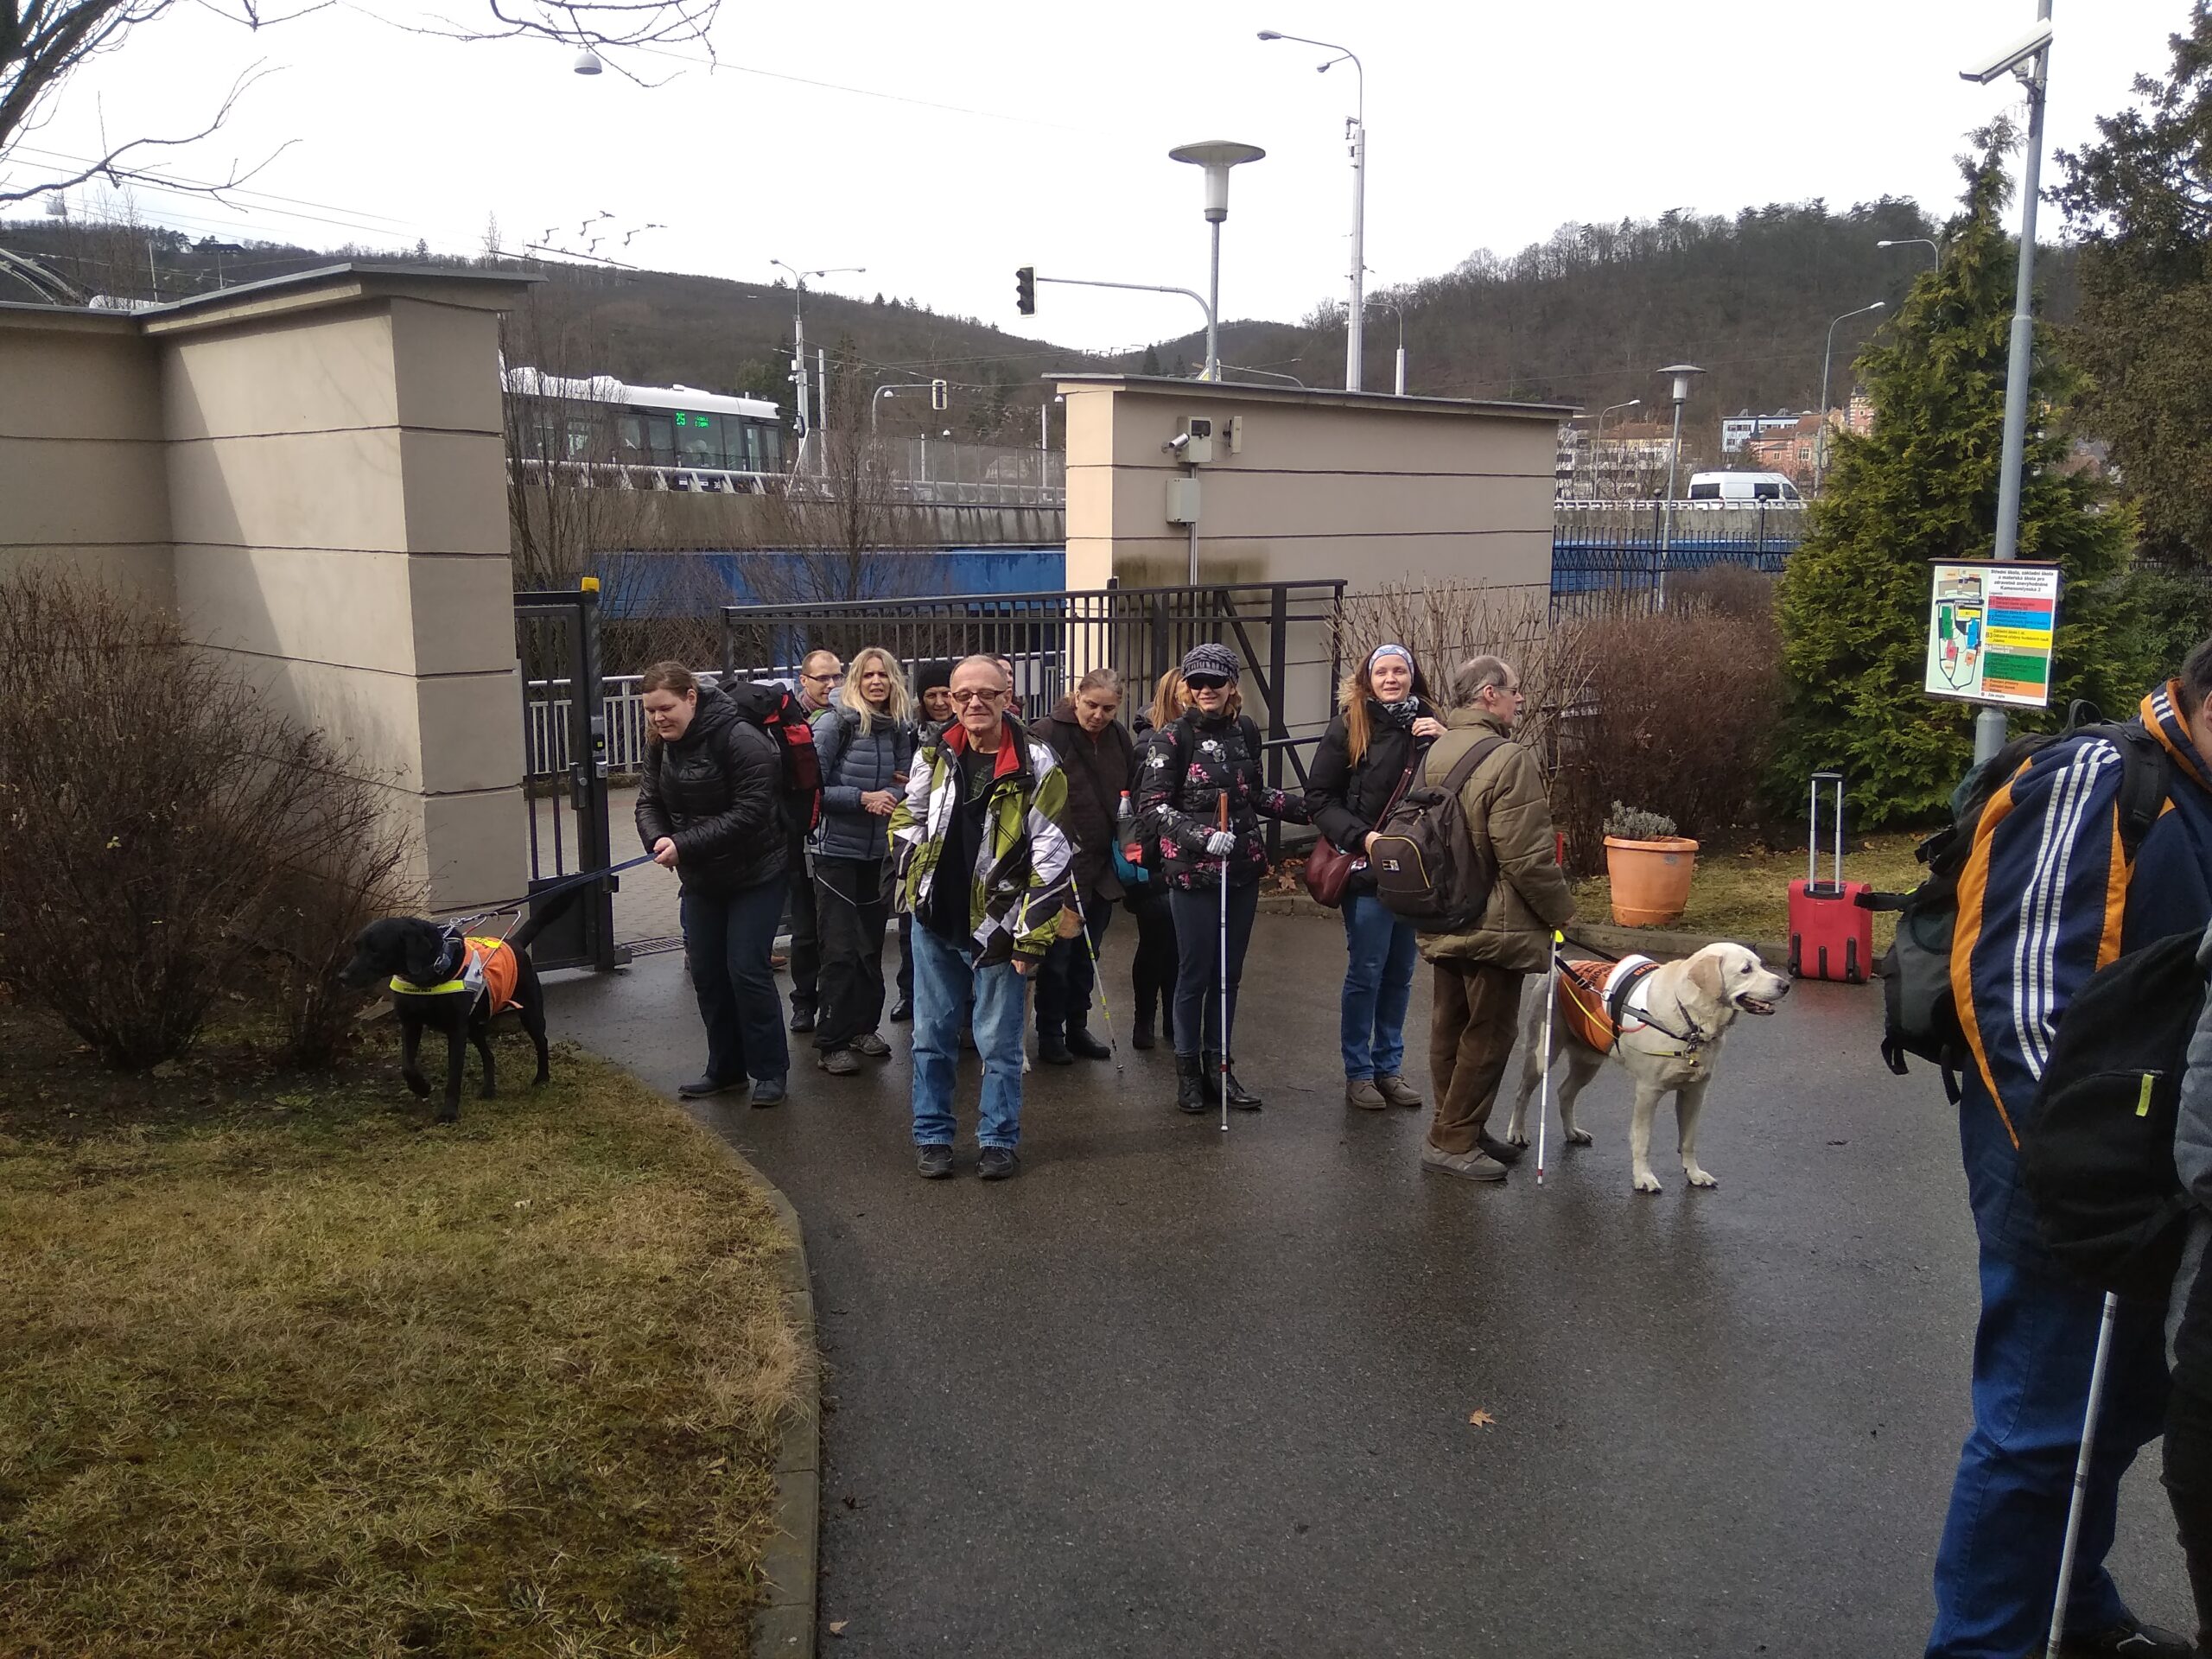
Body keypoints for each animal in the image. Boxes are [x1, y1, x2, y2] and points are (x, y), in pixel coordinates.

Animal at [340, 900, 569, 1122]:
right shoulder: (410, 1023)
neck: (427, 977)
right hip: (473, 1026)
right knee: (489, 1056)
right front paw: (421, 1087)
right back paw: (488, 1089)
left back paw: (542, 1078)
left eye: (375, 950)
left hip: (529, 1013)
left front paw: (449, 1112)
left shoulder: (456, 1031)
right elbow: (407, 1066)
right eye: (356, 947)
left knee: (541, 1042)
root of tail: (515, 943)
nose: (342, 976)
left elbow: (453, 1075)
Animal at [1505, 942, 1790, 1193]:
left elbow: (1688, 1139)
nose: (1786, 985)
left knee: (1564, 1092)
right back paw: (1517, 1133)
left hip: (1589, 1059)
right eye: (1746, 969)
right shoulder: (1648, 1092)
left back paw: (1573, 1132)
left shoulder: (1695, 1091)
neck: (1690, 1019)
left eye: (1761, 965)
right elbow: (1643, 1140)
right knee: (1522, 1092)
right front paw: (1643, 1178)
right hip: (1542, 1053)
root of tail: (1560, 968)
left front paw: (1695, 1174)